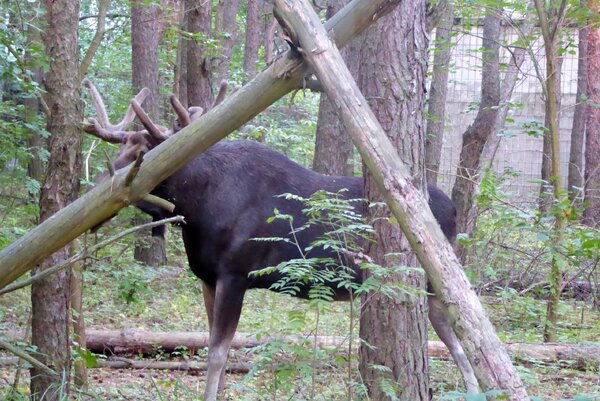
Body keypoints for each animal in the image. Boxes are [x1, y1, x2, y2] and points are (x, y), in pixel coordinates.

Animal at [84, 79, 478, 398]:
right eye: (121, 150)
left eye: (143, 155)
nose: (97, 196)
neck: (196, 209)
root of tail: (455, 209)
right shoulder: (208, 279)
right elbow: (214, 348)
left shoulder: (235, 275)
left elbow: (218, 354)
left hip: (430, 278)